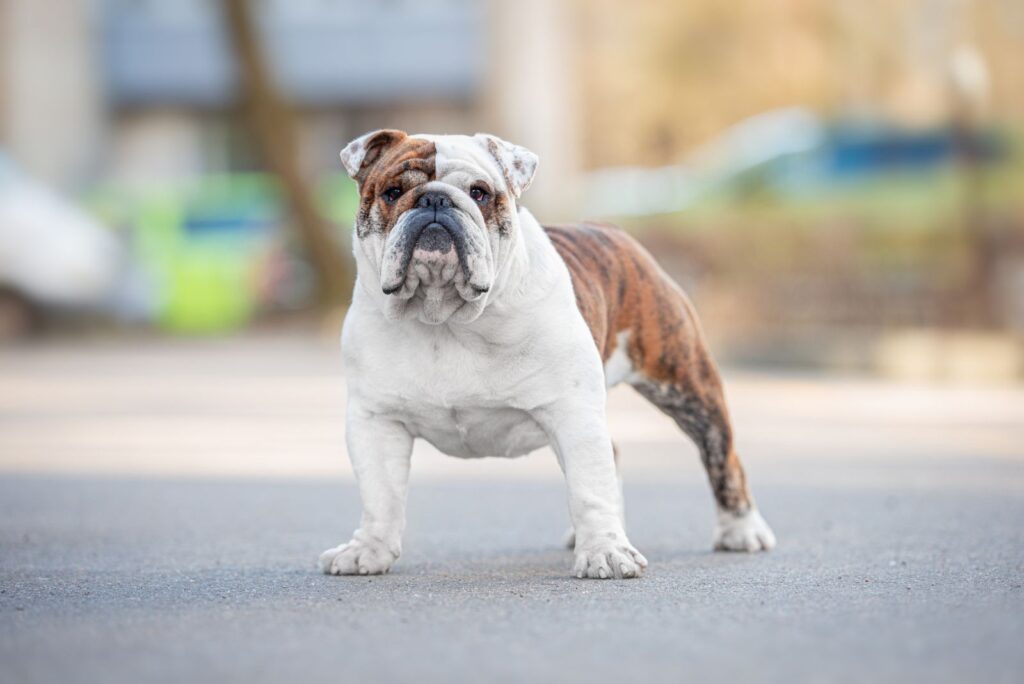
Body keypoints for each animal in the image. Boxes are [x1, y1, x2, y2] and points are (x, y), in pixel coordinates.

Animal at [315, 129, 770, 577]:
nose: (435, 200)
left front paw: (605, 551)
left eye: (480, 193)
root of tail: (611, 230)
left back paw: (742, 531)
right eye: (392, 192)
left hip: (685, 386)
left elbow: (589, 488)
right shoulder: (376, 420)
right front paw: (369, 550)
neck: (446, 318)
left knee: (722, 457)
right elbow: (381, 494)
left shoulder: (573, 412)